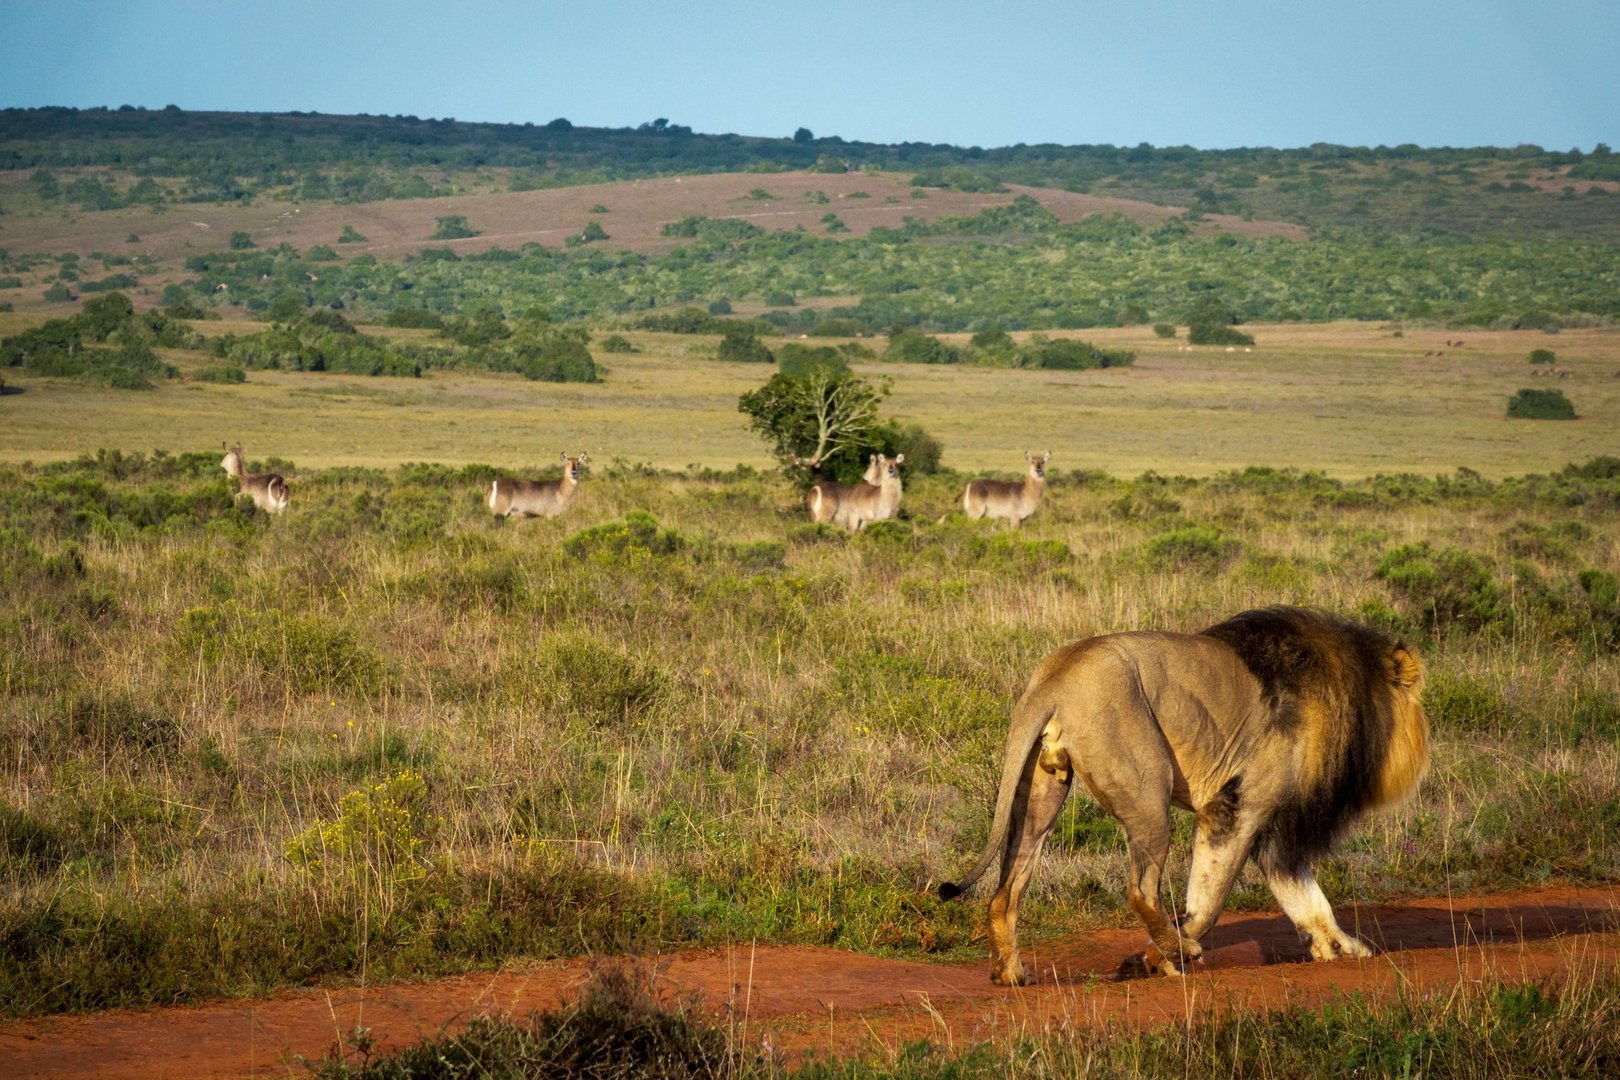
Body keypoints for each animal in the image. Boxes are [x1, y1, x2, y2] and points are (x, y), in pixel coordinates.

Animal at [938, 606, 1428, 984]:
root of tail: (1055, 678)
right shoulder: (1239, 807)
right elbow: (1209, 901)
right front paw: (1163, 957)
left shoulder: (1271, 829)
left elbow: (1306, 899)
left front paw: (1341, 948)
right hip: (1147, 791)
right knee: (1139, 890)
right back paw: (1181, 950)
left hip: (1041, 791)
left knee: (1006, 889)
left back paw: (1010, 973)